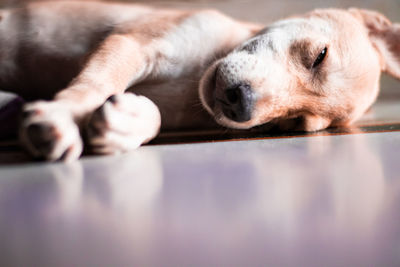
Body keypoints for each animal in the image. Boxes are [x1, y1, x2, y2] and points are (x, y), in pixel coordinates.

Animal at [0, 0, 398, 161]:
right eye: (319, 56)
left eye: (293, 123)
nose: (241, 106)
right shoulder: (130, 44)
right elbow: (95, 84)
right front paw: (59, 119)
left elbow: (152, 115)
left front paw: (124, 124)